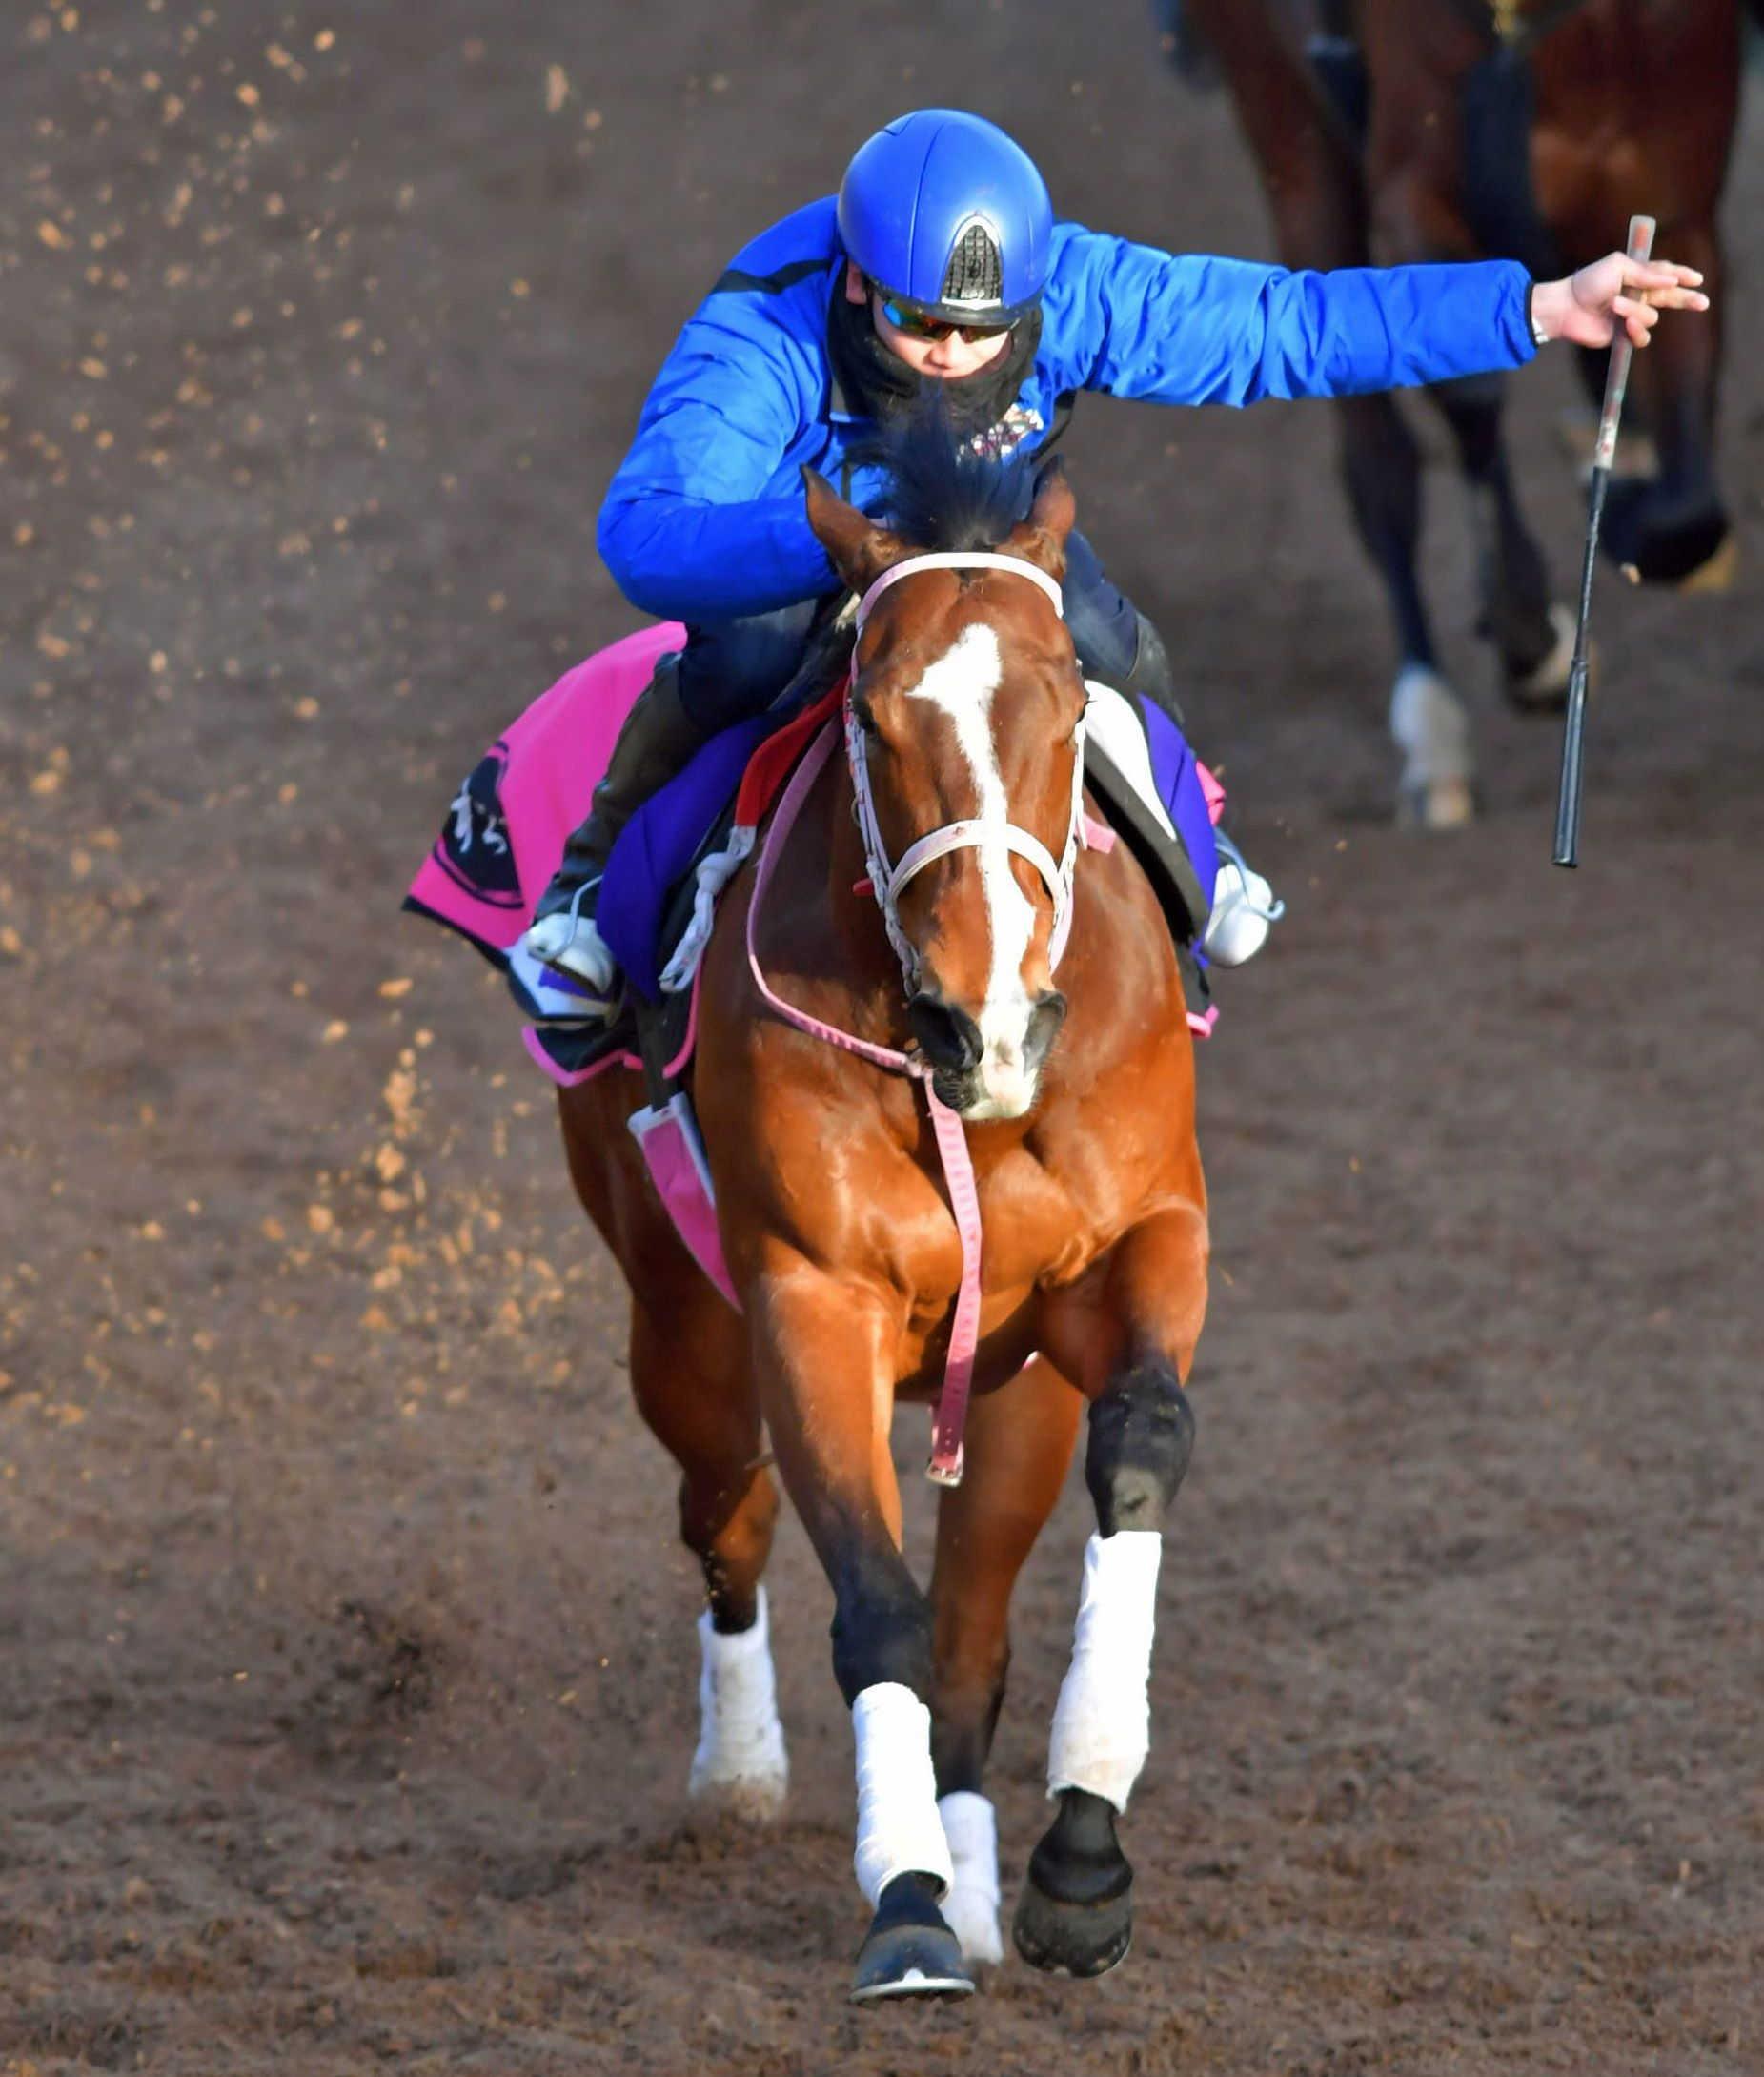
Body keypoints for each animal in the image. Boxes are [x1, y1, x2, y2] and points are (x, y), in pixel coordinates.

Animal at [557, 417, 1205, 1993]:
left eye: (1069, 696)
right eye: (873, 711)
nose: (989, 1017)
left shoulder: (1129, 1254)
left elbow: (1139, 1448)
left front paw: (1072, 1855)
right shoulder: (809, 1298)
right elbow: (871, 1603)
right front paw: (904, 1902)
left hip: (1010, 1383)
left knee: (970, 1626)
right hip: (679, 1324)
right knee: (723, 1514)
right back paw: (738, 1768)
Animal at [1163, 0, 1745, 826]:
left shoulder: (1675, 197)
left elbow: (1685, 509)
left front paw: (1625, 492)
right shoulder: (1415, 183)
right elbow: (1467, 396)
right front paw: (1529, 638)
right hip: (1284, 116)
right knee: (1377, 463)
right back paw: (1432, 726)